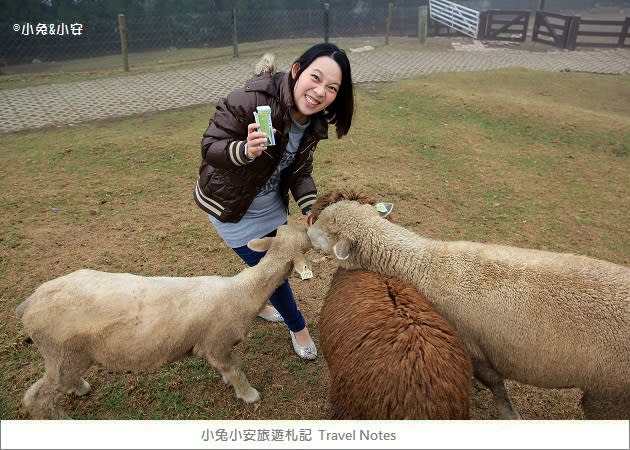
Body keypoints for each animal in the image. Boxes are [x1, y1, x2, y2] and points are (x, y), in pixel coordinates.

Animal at [18, 224, 314, 418]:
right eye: (307, 241)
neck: (243, 290)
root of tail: (28, 304)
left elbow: (227, 370)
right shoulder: (217, 344)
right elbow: (234, 369)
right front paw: (248, 394)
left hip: (67, 357)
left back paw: (78, 388)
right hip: (62, 353)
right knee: (38, 398)